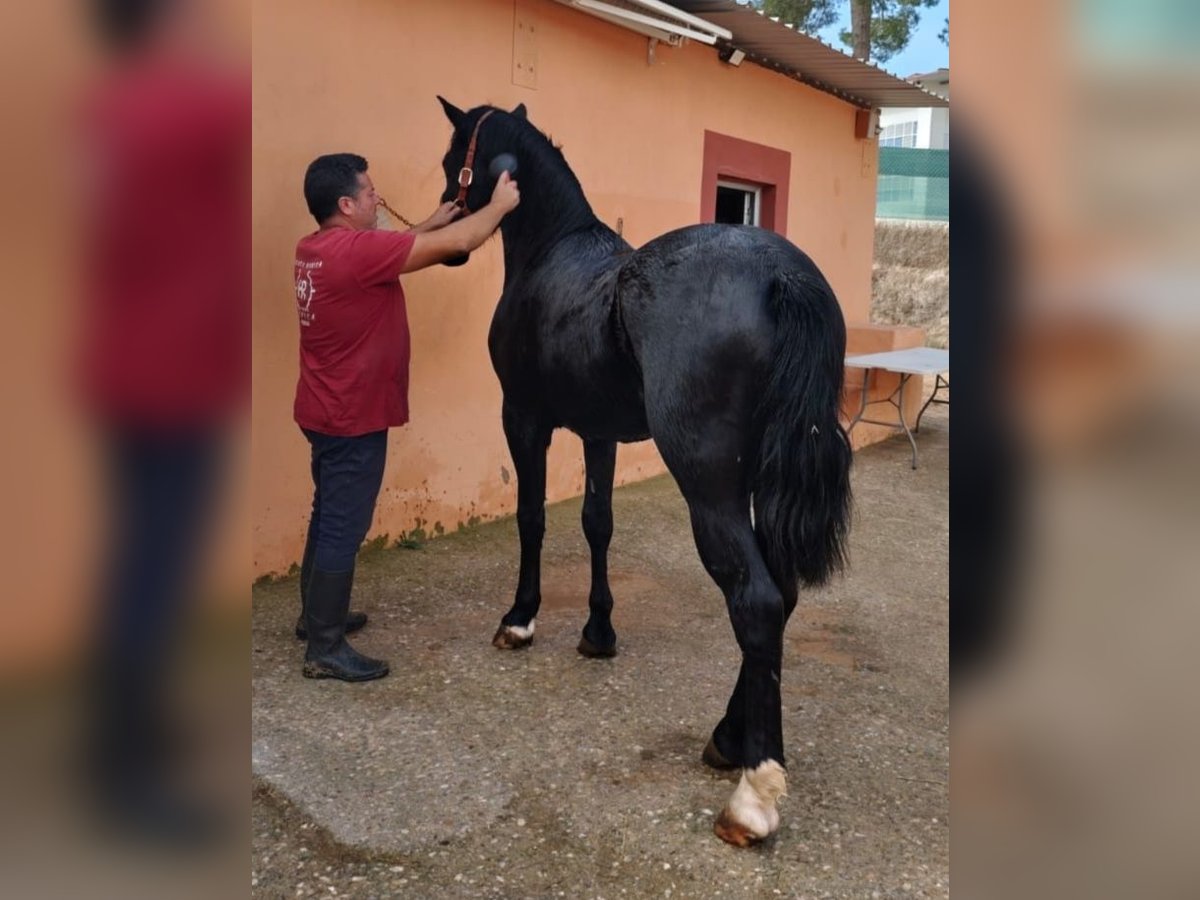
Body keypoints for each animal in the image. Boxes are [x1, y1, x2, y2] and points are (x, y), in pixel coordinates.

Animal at [435, 98, 852, 846]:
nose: (448, 233)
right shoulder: (598, 432)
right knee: (781, 597)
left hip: (711, 486)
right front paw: (598, 633)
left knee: (755, 600)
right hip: (765, 482)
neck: (551, 254)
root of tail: (781, 276)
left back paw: (753, 795)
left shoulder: (524, 420)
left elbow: (532, 519)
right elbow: (597, 524)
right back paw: (729, 738)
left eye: (454, 157)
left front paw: (520, 619)